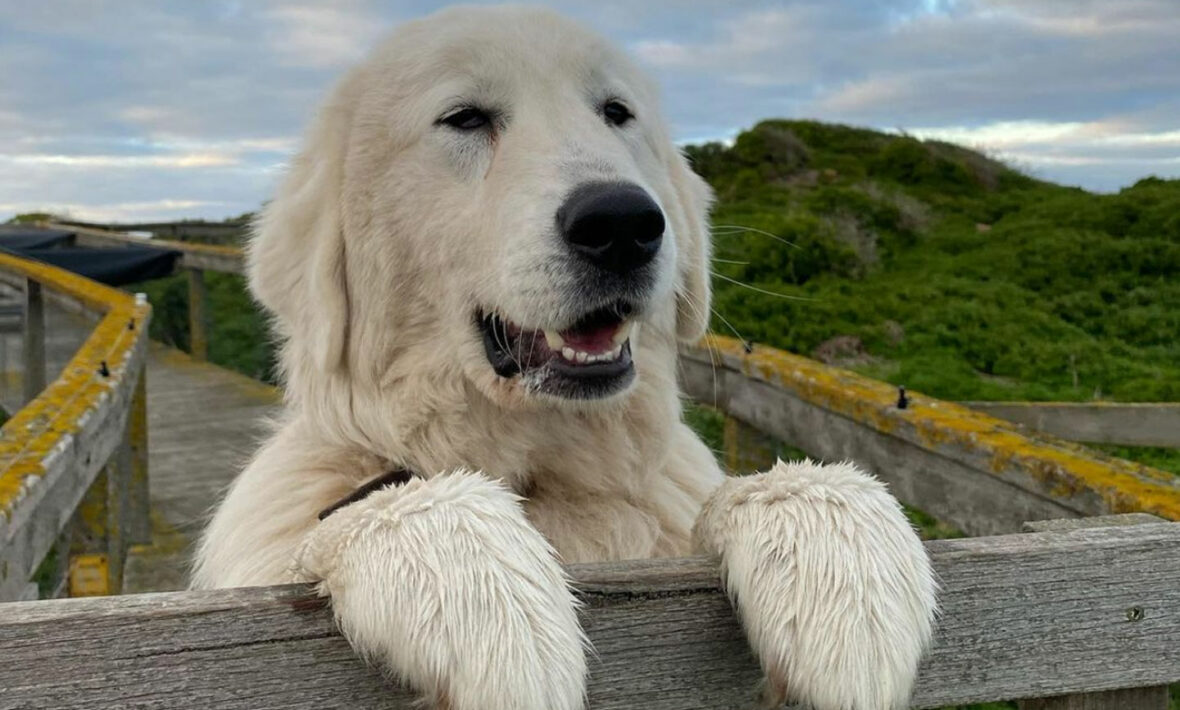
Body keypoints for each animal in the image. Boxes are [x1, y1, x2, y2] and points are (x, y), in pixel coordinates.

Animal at [193, 6, 934, 707]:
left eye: (616, 113)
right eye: (465, 118)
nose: (622, 224)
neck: (542, 472)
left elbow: (781, 484)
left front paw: (848, 584)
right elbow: (402, 503)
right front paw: (493, 614)